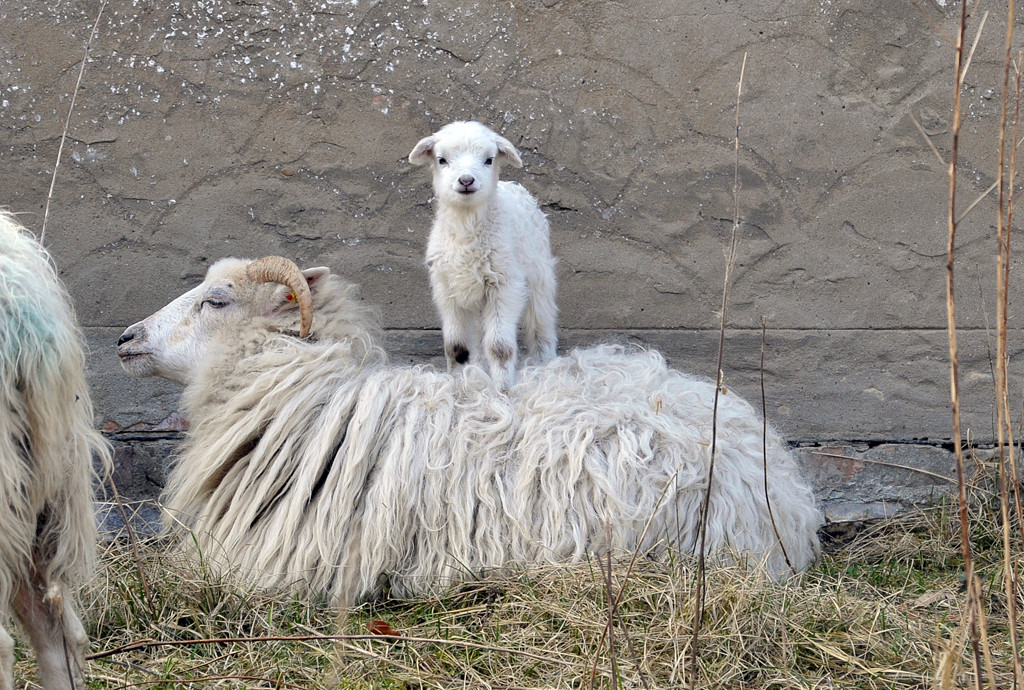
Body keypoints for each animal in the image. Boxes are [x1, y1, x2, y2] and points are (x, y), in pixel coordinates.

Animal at [407, 118, 561, 386]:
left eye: (489, 160)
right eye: (441, 160)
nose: (466, 180)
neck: (466, 227)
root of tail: (512, 185)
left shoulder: (505, 285)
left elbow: (500, 347)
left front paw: (502, 388)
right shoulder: (447, 289)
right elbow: (456, 347)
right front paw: (461, 383)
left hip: (539, 274)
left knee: (541, 322)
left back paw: (545, 364)